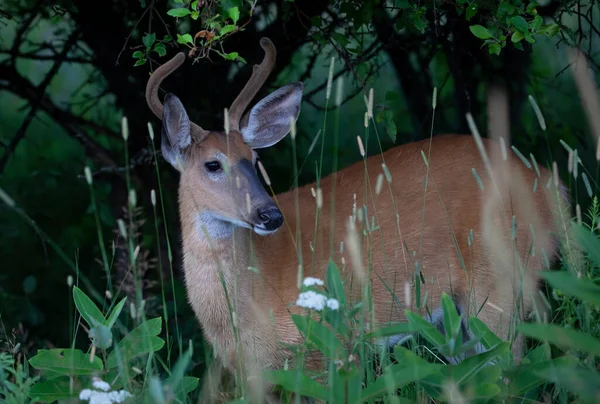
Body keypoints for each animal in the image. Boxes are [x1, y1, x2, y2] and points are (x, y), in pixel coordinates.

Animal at [145, 37, 568, 400]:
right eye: (213, 164)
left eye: (255, 159)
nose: (269, 214)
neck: (250, 300)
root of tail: (549, 183)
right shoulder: (252, 372)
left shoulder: (327, 345)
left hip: (504, 284)